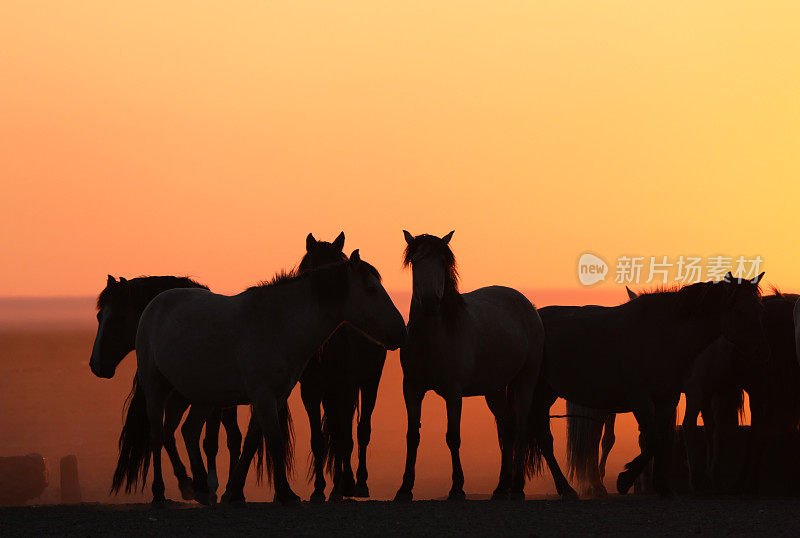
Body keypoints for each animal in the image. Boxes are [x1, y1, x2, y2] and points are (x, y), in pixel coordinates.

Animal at [90, 276, 241, 502]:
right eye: (100, 316)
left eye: (119, 318)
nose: (95, 364)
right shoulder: (174, 400)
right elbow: (166, 435)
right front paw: (186, 483)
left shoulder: (209, 402)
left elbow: (209, 442)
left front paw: (208, 485)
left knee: (233, 439)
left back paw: (229, 491)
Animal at [111, 251, 406, 502]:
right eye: (371, 289)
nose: (401, 331)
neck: (277, 324)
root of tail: (155, 304)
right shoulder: (263, 396)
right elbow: (273, 440)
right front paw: (285, 494)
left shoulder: (274, 396)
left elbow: (253, 442)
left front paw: (234, 492)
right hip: (156, 388)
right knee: (158, 435)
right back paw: (161, 493)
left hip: (195, 396)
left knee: (187, 432)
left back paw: (200, 489)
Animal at [394, 231, 576, 502]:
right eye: (415, 262)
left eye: (442, 263)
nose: (429, 303)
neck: (434, 337)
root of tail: (528, 305)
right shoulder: (412, 389)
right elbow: (412, 436)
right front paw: (405, 489)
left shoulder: (453, 393)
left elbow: (453, 437)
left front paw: (457, 488)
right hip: (494, 390)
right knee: (507, 427)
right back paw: (501, 487)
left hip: (525, 381)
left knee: (521, 427)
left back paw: (519, 487)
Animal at [536, 272, 764, 494]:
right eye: (740, 310)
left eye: (759, 308)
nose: (759, 350)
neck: (662, 334)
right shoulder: (643, 400)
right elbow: (654, 439)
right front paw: (626, 480)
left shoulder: (668, 399)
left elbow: (662, 439)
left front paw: (661, 485)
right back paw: (573, 487)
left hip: (547, 395)